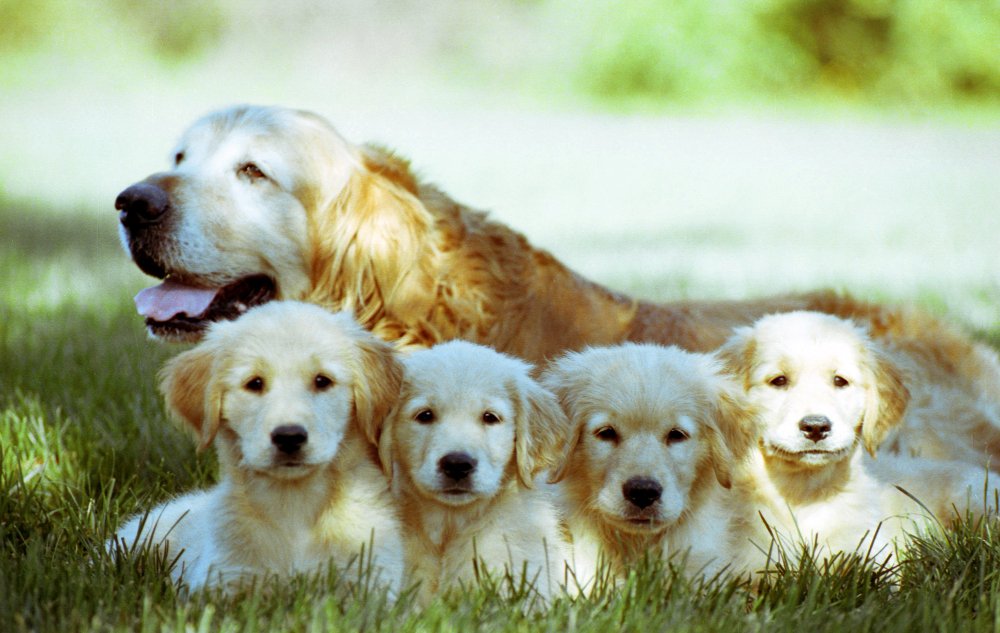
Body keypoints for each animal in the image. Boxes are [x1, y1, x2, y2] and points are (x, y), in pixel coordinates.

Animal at [107, 302, 404, 592]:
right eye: (254, 383)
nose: (289, 437)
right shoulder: (224, 577)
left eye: (322, 381)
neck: (294, 504)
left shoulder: (373, 579)